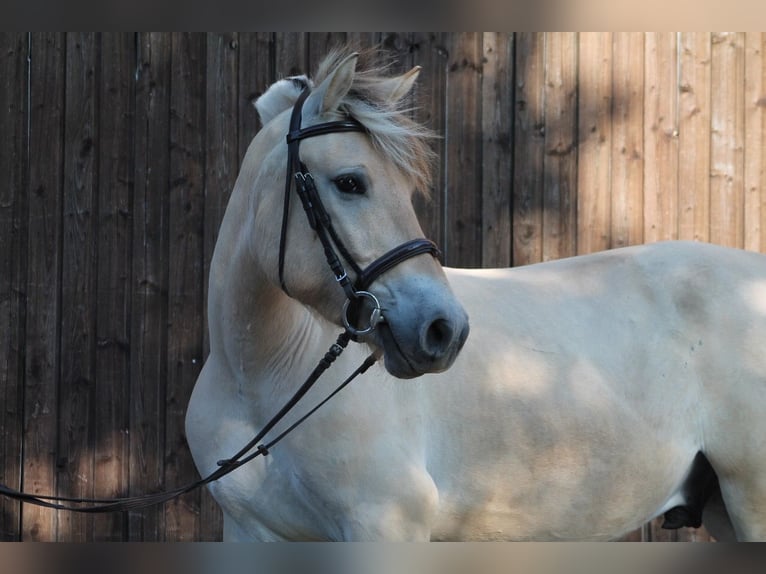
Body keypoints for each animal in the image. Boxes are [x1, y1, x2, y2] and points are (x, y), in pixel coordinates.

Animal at [186, 48, 766, 541]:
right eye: (351, 182)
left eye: (406, 189)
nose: (445, 330)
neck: (264, 377)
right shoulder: (250, 535)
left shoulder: (384, 527)